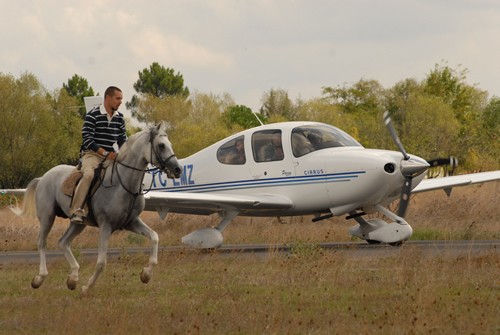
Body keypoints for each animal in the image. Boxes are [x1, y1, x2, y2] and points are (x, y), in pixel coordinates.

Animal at [13, 123, 182, 294]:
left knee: (63, 242)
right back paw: (39, 278)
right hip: (47, 216)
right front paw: (86, 288)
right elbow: (101, 262)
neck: (123, 184)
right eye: (161, 145)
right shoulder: (106, 226)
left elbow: (154, 237)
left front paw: (146, 274)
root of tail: (43, 177)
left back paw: (73, 278)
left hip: (78, 223)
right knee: (42, 243)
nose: (177, 170)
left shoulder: (132, 222)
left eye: (169, 144)